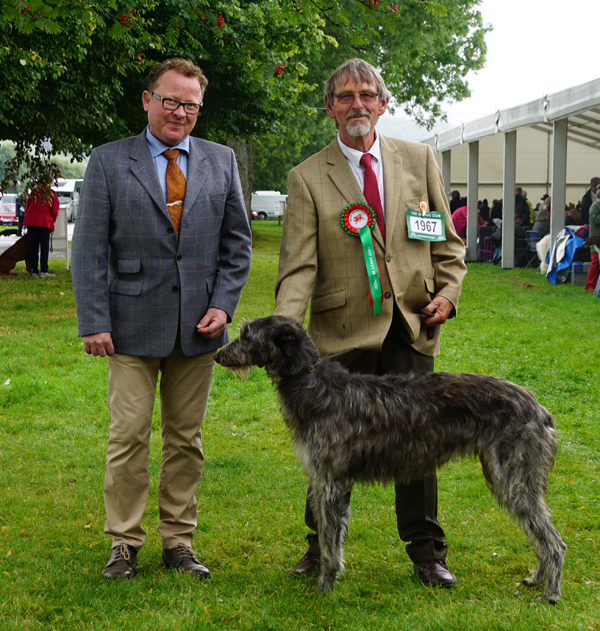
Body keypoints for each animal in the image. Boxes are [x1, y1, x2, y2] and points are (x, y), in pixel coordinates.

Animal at [214, 316, 568, 604]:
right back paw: (537, 579)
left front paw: (324, 587)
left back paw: (550, 594)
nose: (217, 355)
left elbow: (329, 541)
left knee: (554, 542)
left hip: (513, 478)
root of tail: (540, 409)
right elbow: (333, 537)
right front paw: (330, 578)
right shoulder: (327, 481)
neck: (311, 382)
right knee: (540, 534)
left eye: (246, 335)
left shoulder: (330, 481)